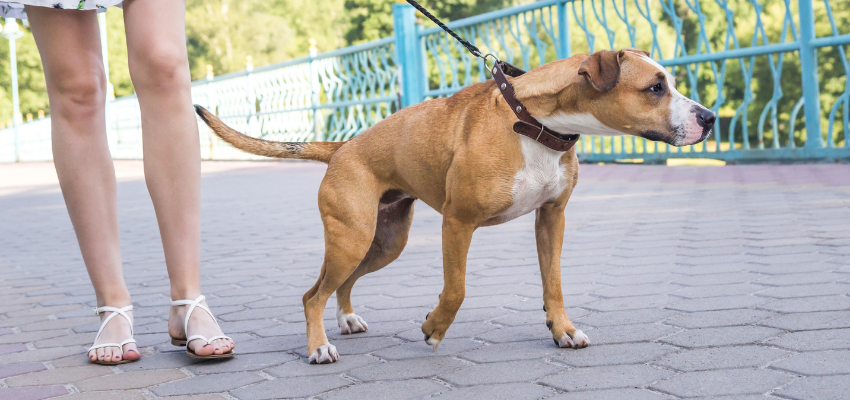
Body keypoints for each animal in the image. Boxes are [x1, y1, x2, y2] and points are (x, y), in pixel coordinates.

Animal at [194, 48, 716, 364]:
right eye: (655, 87)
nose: (709, 118)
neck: (534, 123)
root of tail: (343, 147)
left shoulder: (552, 219)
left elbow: (554, 284)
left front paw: (562, 330)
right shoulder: (458, 223)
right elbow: (457, 290)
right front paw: (433, 328)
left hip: (383, 242)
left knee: (340, 284)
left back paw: (345, 319)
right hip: (352, 237)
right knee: (311, 294)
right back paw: (320, 346)